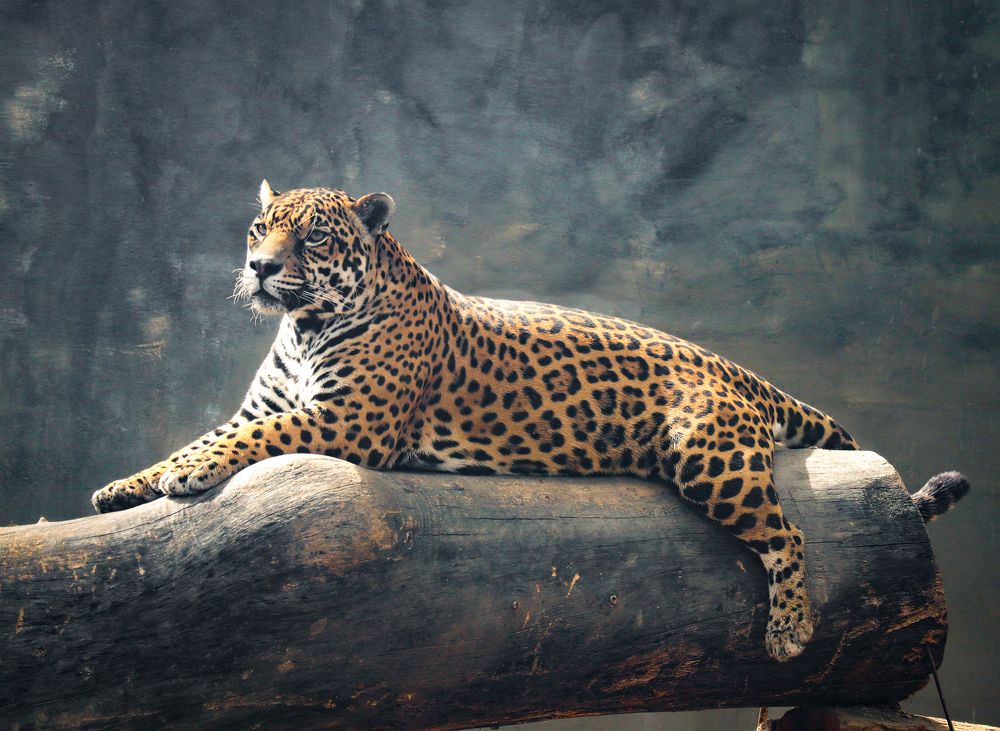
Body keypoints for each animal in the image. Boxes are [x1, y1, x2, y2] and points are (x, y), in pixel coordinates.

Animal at [92, 180, 969, 661]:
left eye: (310, 236)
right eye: (258, 229)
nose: (259, 268)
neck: (303, 326)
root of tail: (732, 366)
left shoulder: (347, 420)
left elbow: (246, 442)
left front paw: (186, 475)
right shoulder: (273, 404)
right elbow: (213, 432)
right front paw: (124, 486)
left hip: (706, 453)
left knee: (786, 534)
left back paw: (790, 630)